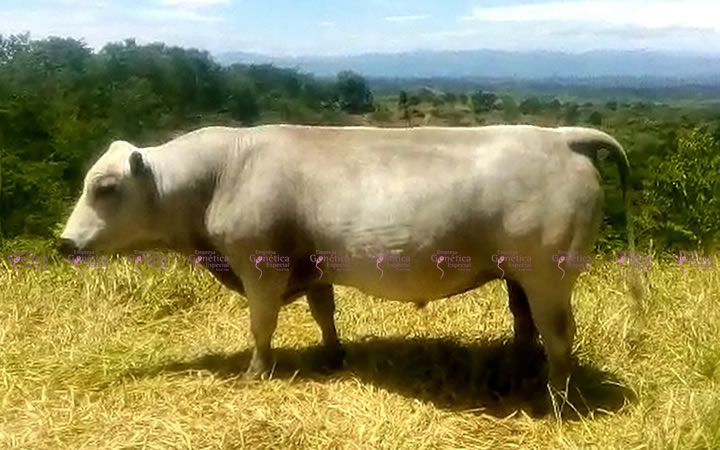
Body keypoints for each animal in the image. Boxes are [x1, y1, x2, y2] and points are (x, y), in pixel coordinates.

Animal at [58, 124, 638, 392]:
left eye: (105, 186)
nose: (64, 244)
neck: (221, 173)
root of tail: (562, 136)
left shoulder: (260, 264)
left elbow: (261, 324)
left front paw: (255, 373)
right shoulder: (313, 265)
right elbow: (324, 312)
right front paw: (333, 355)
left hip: (549, 273)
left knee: (558, 332)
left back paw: (556, 397)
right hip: (518, 275)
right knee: (524, 323)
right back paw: (516, 370)